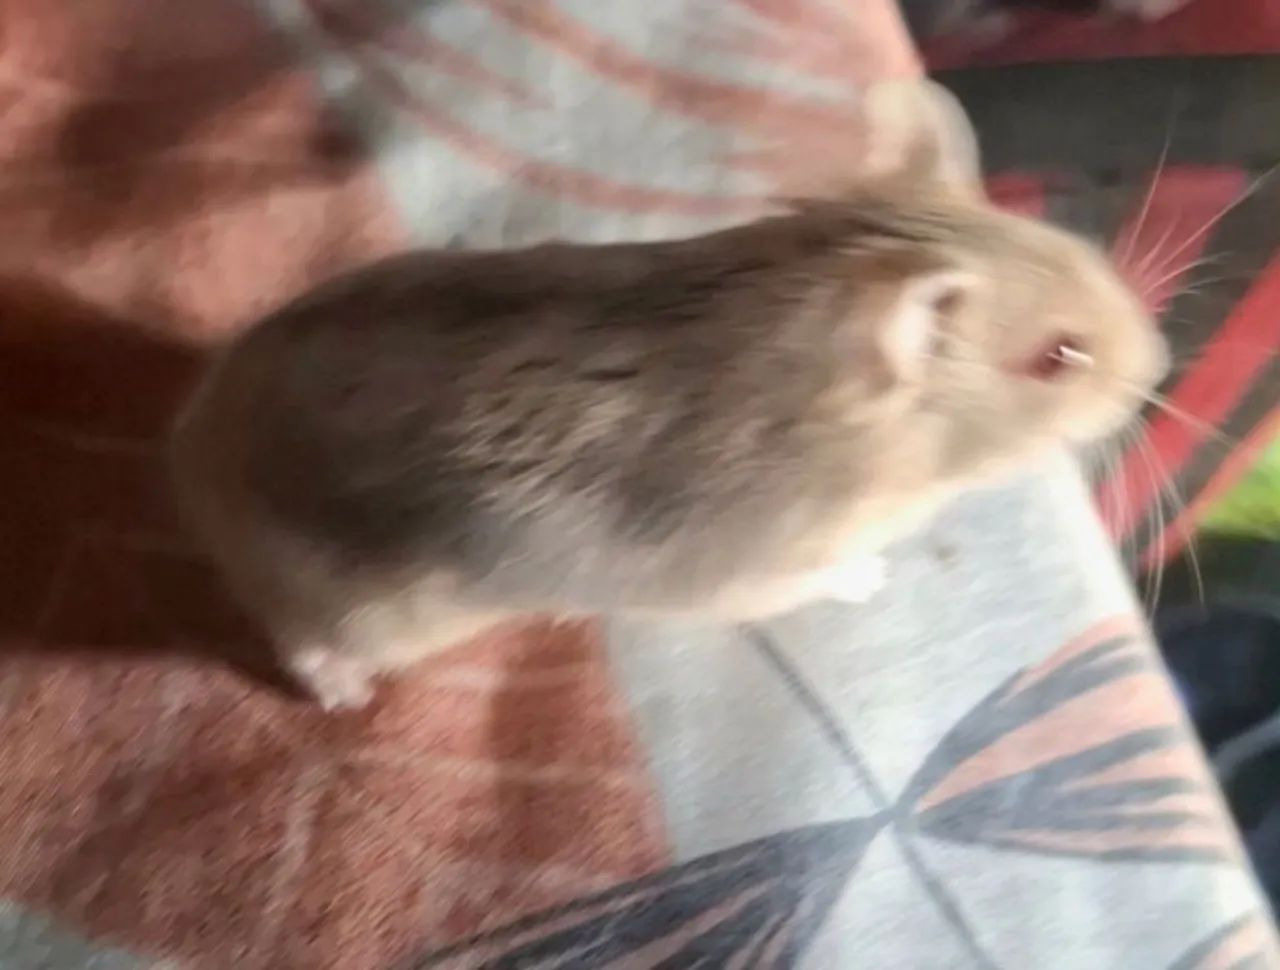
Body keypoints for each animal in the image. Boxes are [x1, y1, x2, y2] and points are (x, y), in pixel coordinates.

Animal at [170, 81, 1168, 709]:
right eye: (1059, 358)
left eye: (1081, 251)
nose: (1158, 369)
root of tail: (193, 451)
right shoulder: (756, 570)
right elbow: (825, 575)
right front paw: (874, 575)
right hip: (368, 613)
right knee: (299, 641)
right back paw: (340, 694)